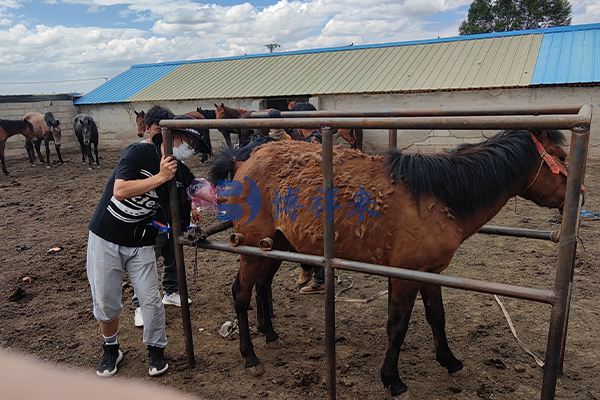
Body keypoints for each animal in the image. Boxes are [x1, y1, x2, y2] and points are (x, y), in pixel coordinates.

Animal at [211, 130, 572, 396]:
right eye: (563, 157)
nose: (577, 194)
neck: (440, 196)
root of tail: (244, 160)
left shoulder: (430, 274)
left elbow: (437, 318)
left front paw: (449, 360)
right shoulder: (405, 277)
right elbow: (397, 327)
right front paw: (392, 379)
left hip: (276, 244)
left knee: (262, 285)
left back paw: (269, 332)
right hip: (252, 247)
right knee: (240, 294)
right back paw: (250, 356)